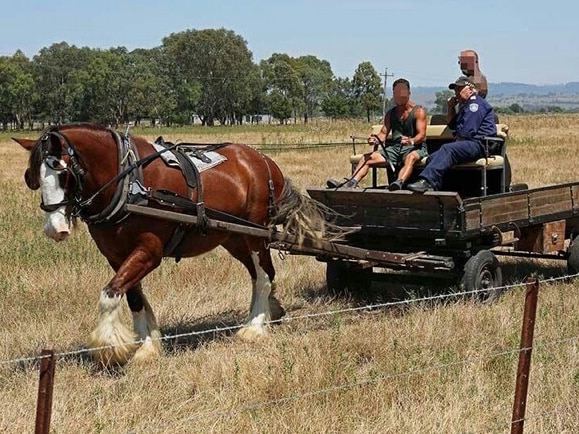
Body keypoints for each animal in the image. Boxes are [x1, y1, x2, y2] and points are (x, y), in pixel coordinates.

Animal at [13, 124, 328, 368]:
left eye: (63, 172)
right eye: (32, 178)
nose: (54, 229)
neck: (129, 183)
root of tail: (264, 161)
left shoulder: (149, 252)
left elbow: (110, 294)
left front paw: (112, 347)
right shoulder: (115, 255)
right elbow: (133, 298)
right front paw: (147, 345)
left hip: (255, 233)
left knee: (263, 277)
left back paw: (254, 328)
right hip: (233, 238)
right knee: (261, 274)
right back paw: (268, 313)